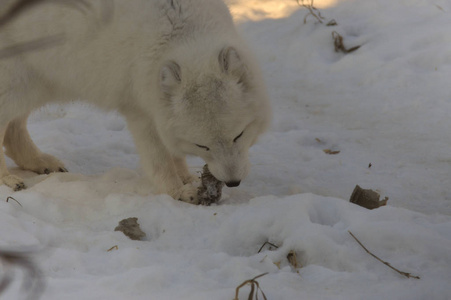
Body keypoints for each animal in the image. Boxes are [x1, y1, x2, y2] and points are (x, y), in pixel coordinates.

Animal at [0, 0, 272, 204]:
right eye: (202, 146)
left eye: (239, 135)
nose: (233, 182)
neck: (184, 35)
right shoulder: (140, 109)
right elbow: (159, 160)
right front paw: (178, 191)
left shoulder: (159, 110)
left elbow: (174, 154)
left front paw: (187, 178)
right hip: (16, 84)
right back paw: (7, 180)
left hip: (40, 85)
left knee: (14, 130)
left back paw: (40, 163)